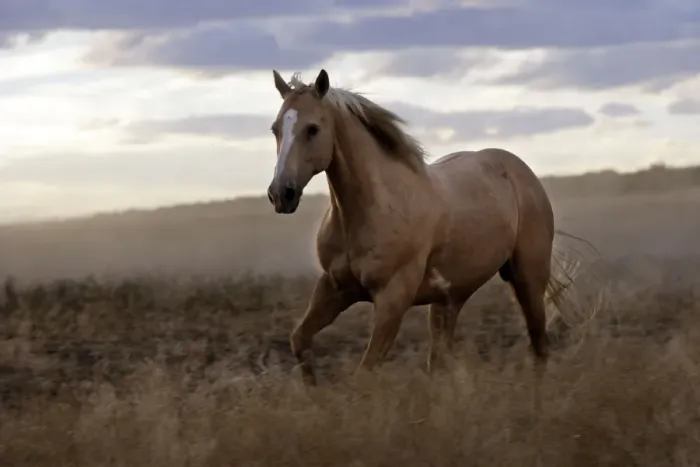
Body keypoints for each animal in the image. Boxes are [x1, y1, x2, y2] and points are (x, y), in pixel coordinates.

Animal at [266, 68, 562, 387]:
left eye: (312, 129)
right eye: (275, 129)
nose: (281, 194)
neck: (369, 211)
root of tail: (521, 171)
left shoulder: (393, 298)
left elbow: (364, 373)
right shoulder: (335, 288)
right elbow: (299, 340)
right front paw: (314, 391)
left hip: (528, 278)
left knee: (540, 346)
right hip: (450, 299)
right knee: (441, 360)